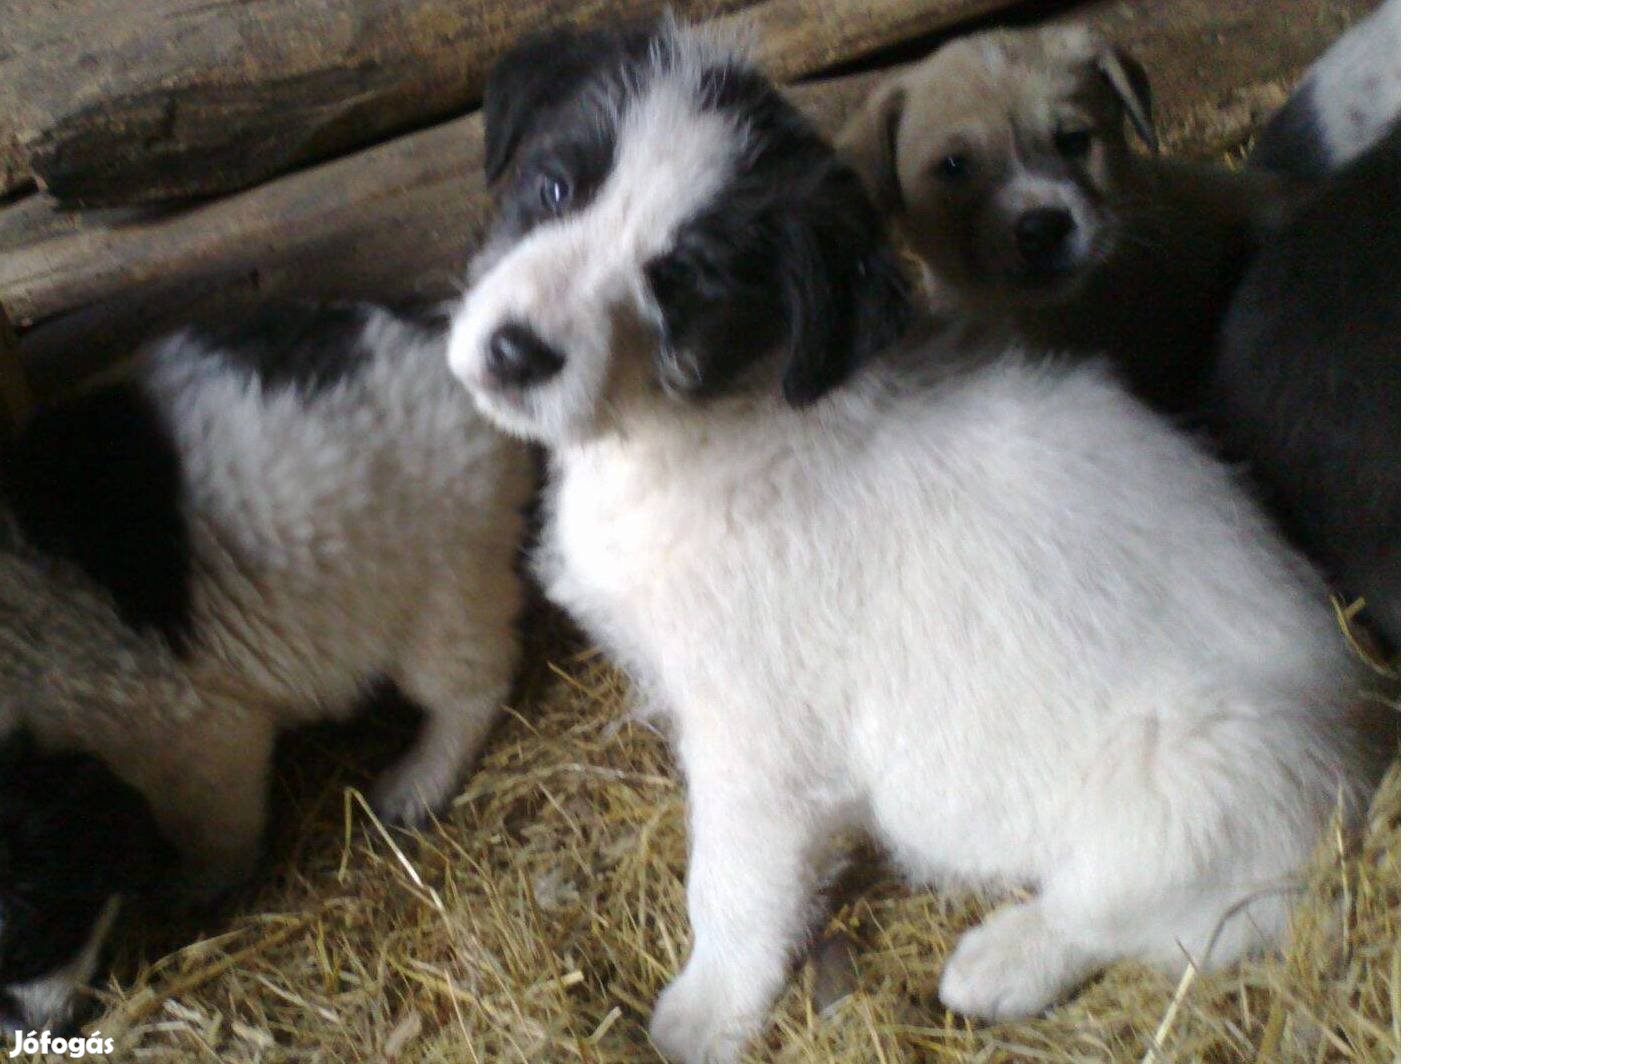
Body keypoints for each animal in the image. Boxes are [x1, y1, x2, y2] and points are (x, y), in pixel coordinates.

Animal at [0, 303, 528, 1037]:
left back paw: (417, 783)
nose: (31, 1030)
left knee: (475, 685)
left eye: (24, 925)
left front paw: (198, 884)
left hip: (444, 582)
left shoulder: (191, 731)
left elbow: (218, 827)